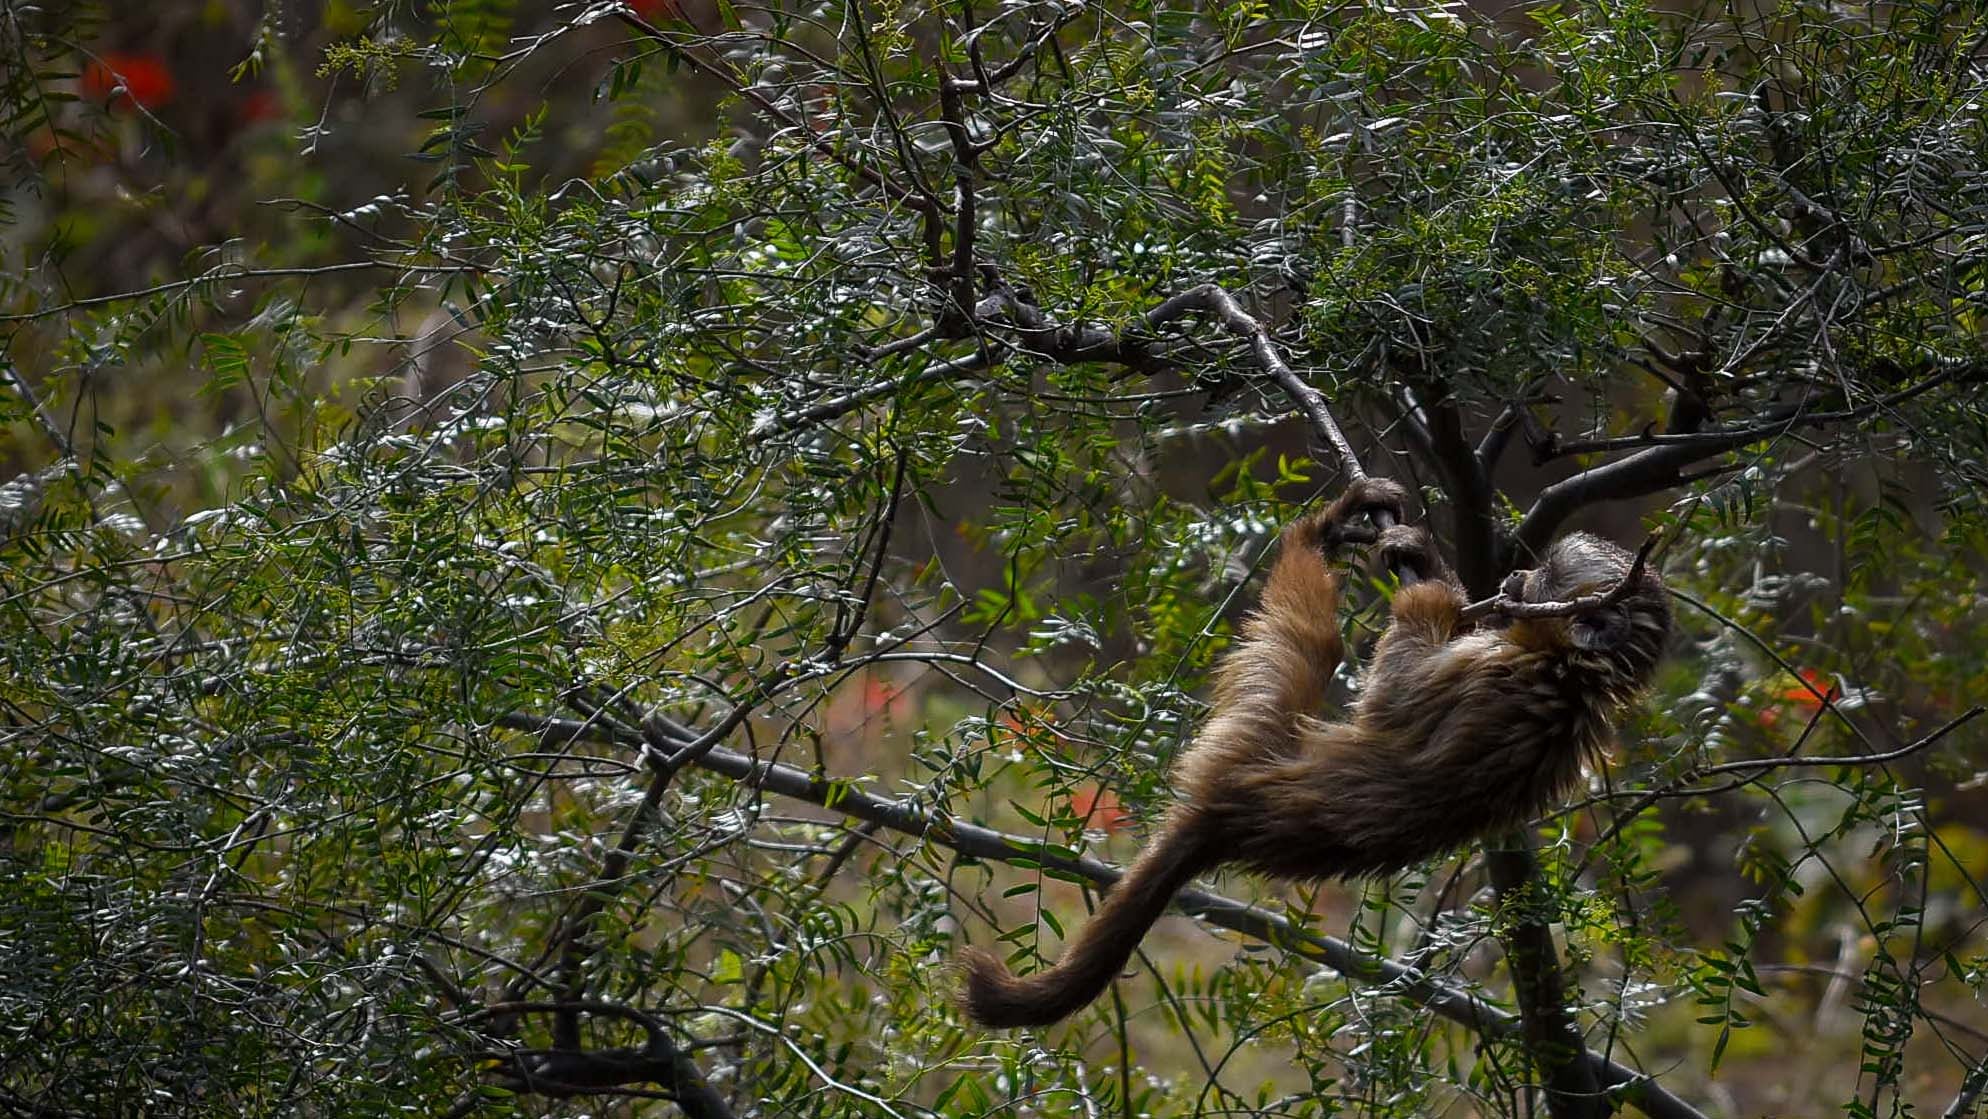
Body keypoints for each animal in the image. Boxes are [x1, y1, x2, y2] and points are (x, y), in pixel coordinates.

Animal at [954, 477, 1669, 1025]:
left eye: (1544, 575)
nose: (1517, 575)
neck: (1573, 675)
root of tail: (1230, 819)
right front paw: (1432, 568)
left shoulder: (1492, 675)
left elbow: (1394, 699)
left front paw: (1427, 589)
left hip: (1245, 740)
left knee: (1312, 646)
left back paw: (1311, 537)